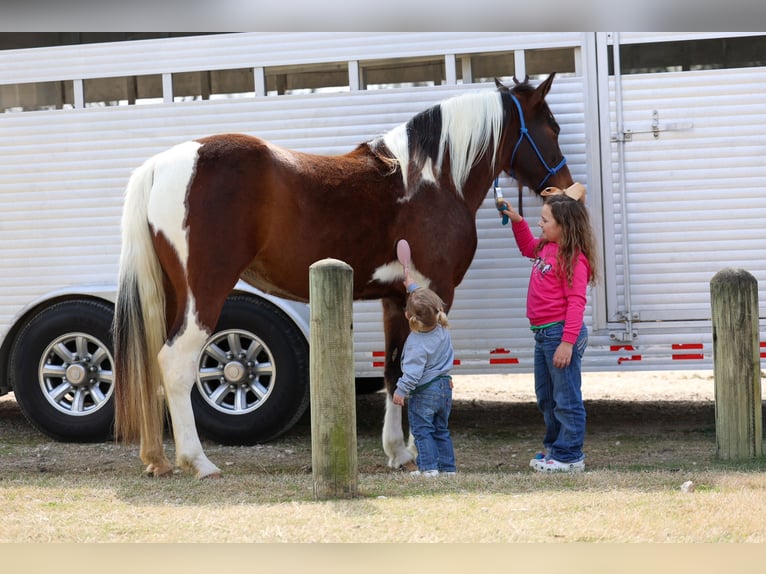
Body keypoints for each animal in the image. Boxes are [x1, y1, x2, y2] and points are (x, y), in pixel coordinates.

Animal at [113, 73, 576, 478]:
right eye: (551, 128)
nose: (564, 189)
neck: (432, 180)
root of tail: (161, 166)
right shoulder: (435, 290)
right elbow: (423, 369)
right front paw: (416, 450)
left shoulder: (397, 299)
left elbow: (395, 371)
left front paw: (398, 453)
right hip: (205, 293)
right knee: (176, 364)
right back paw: (198, 462)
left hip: (172, 296)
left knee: (154, 364)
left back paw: (157, 459)